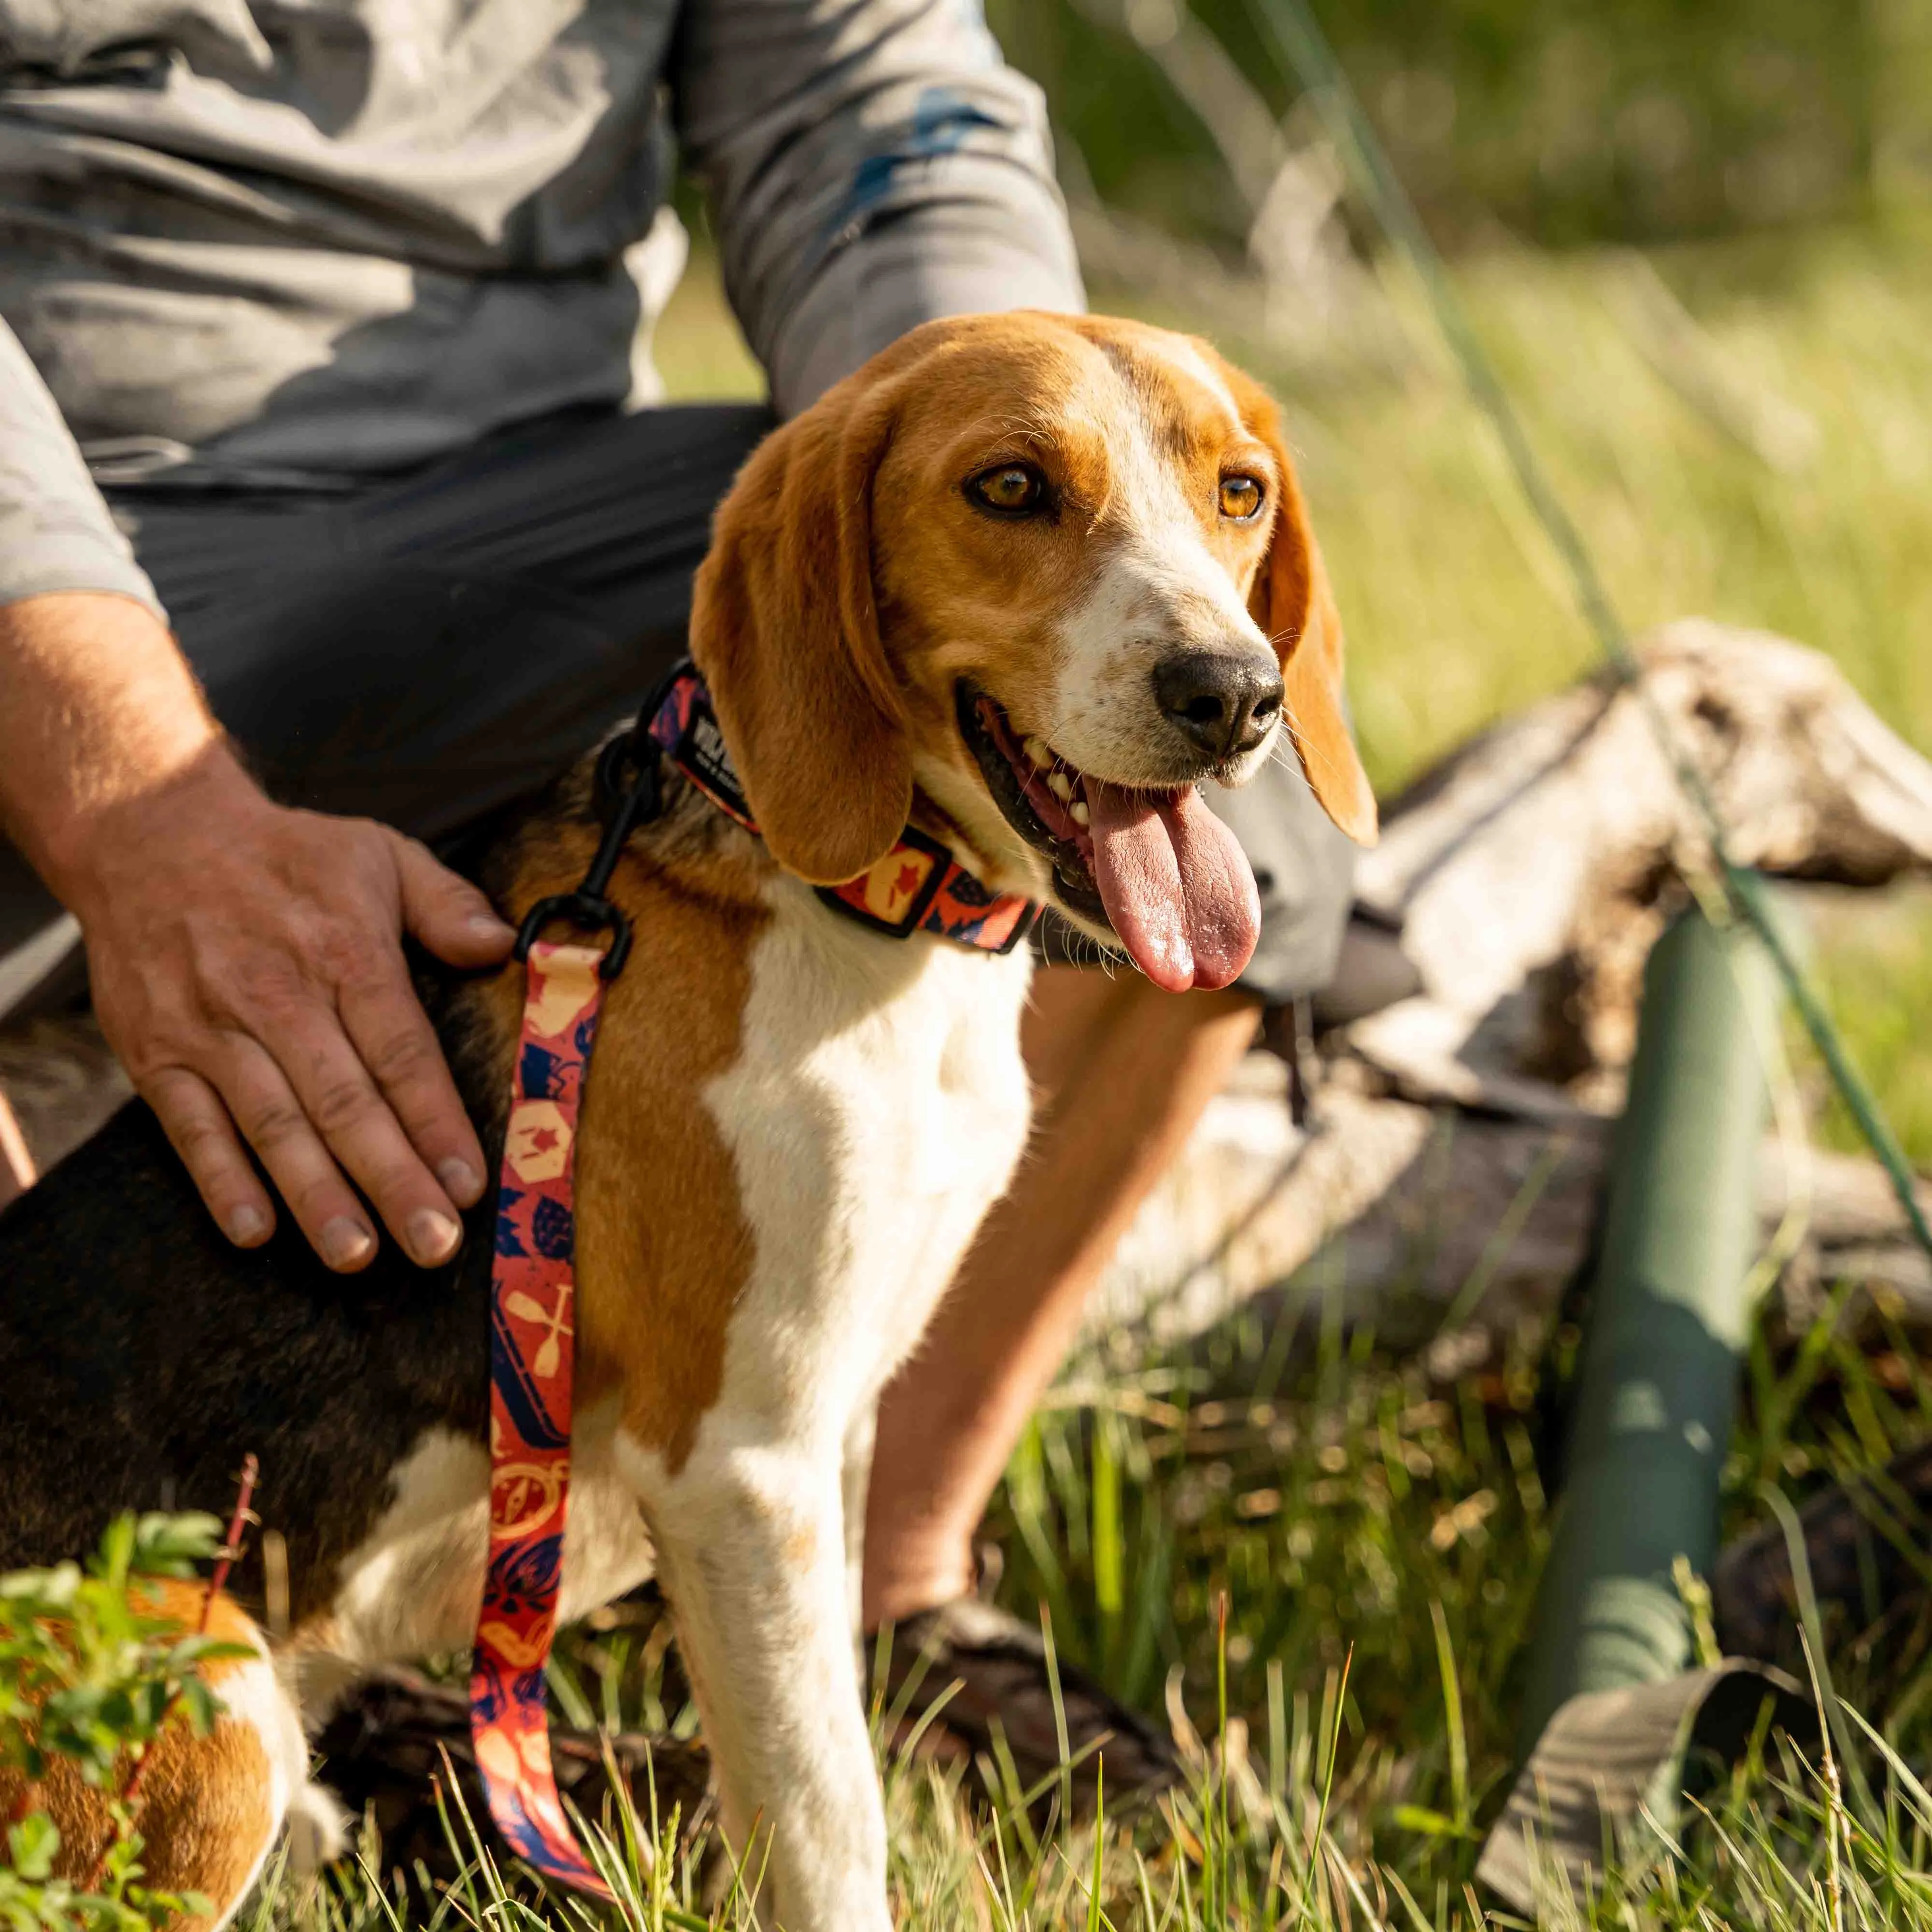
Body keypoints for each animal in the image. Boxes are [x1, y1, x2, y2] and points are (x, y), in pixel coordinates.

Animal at [0, 313, 1376, 1932]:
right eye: (1012, 487)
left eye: (1239, 493)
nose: (1230, 694)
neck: (871, 919)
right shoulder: (743, 1461)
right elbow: (828, 1813)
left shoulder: (833, 1428)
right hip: (213, 1699)